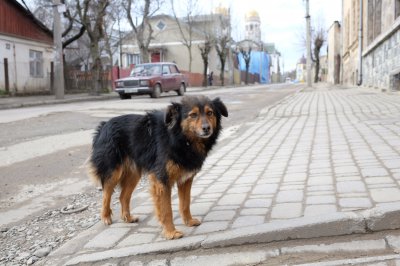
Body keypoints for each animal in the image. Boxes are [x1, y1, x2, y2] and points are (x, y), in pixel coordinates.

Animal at [89, 95, 230, 239]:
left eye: (210, 113)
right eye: (193, 115)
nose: (207, 128)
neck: (180, 138)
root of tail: (104, 125)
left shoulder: (186, 179)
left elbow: (185, 203)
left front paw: (189, 221)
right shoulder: (161, 179)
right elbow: (166, 210)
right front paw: (171, 232)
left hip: (134, 175)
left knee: (123, 196)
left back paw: (128, 218)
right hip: (113, 172)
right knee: (106, 194)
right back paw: (106, 217)